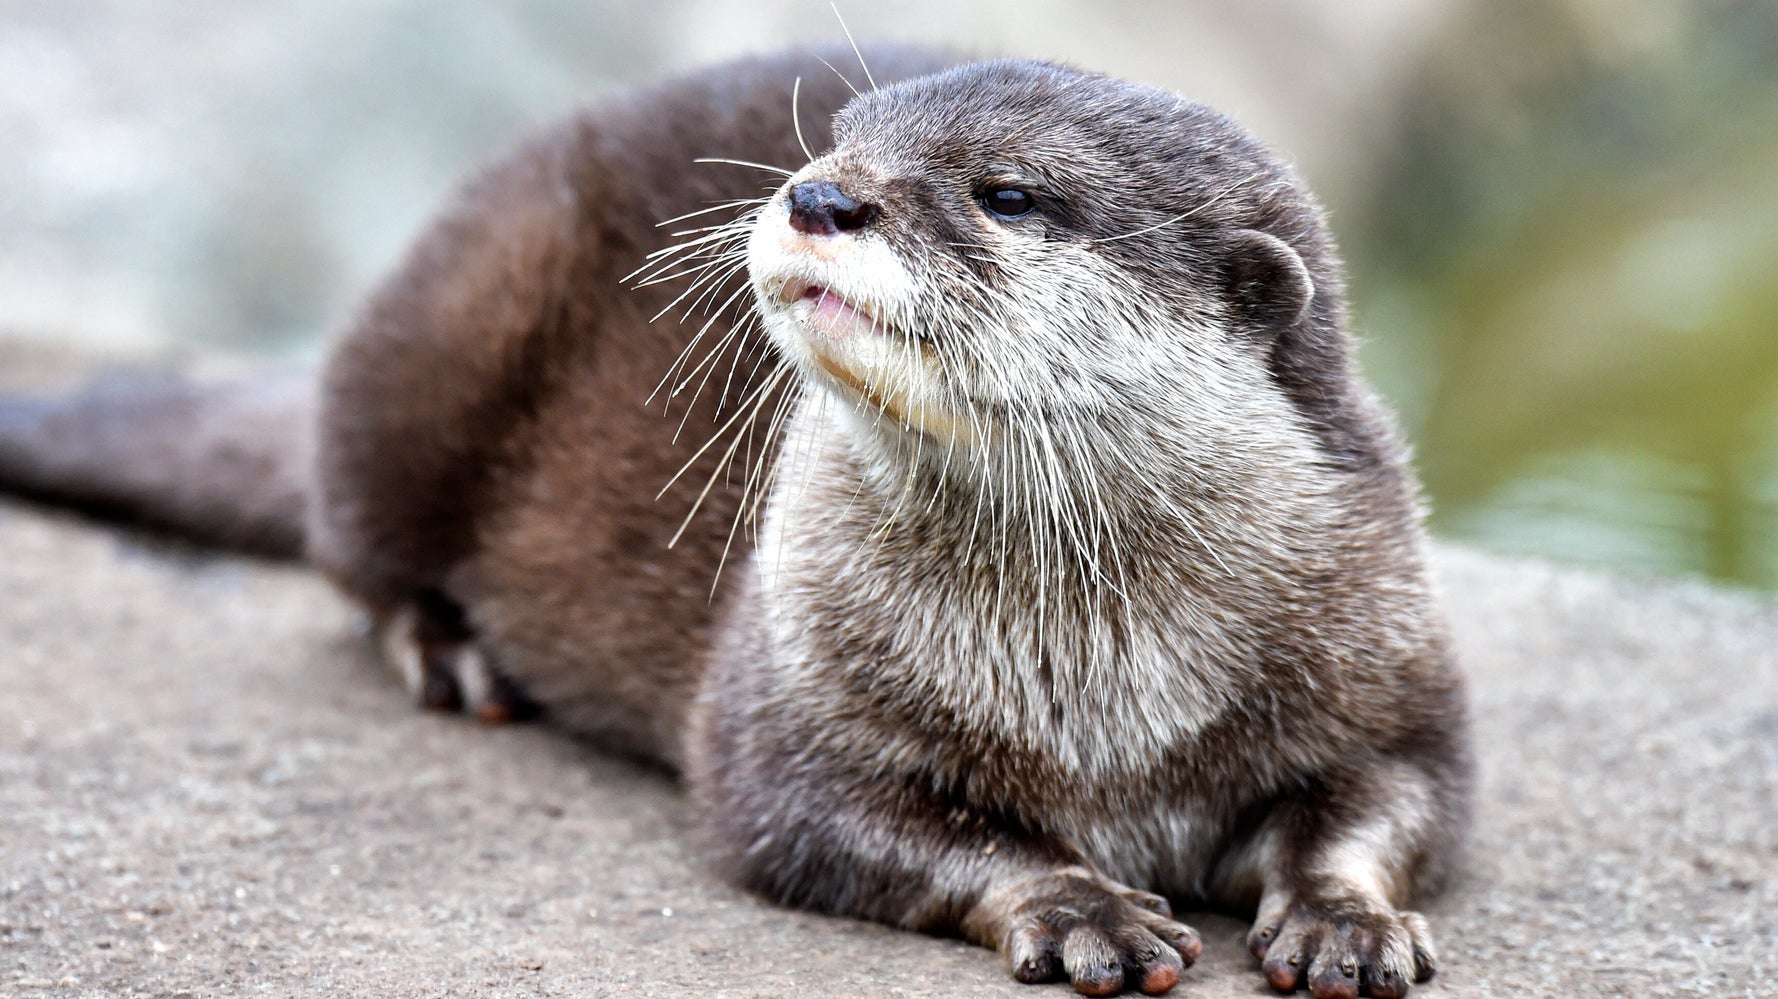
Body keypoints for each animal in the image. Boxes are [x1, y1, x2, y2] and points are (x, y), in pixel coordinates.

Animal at [0, 48, 1469, 998]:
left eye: (1007, 193)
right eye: (845, 137)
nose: (820, 193)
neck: (1101, 691)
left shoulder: (1385, 648)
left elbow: (1394, 800)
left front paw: (1340, 919)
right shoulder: (786, 686)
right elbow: (858, 823)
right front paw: (1078, 901)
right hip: (436, 334)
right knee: (352, 547)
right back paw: (453, 651)